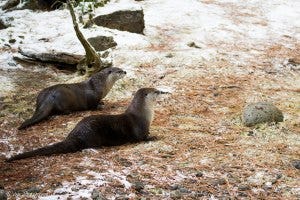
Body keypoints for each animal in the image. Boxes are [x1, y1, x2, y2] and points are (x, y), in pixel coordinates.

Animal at [7, 88, 166, 162]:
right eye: (156, 91)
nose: (162, 91)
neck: (144, 115)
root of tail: (75, 135)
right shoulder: (140, 128)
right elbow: (142, 138)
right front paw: (155, 137)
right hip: (93, 135)